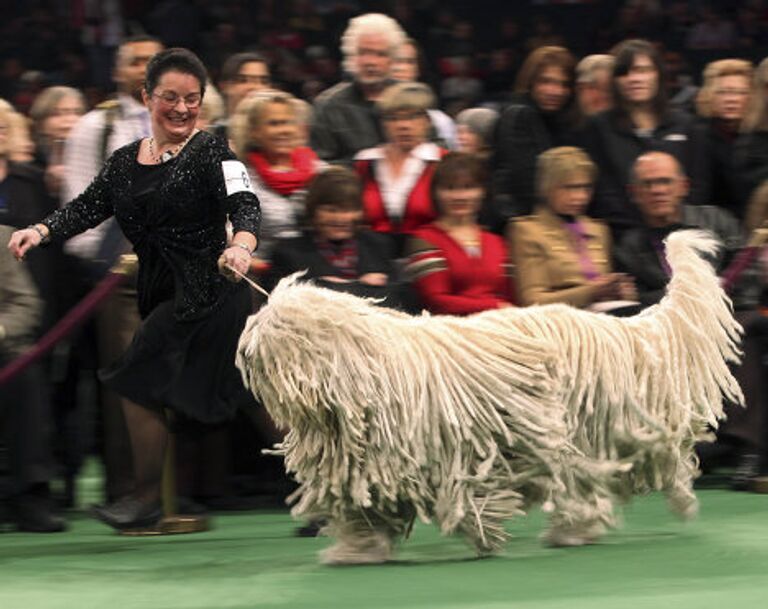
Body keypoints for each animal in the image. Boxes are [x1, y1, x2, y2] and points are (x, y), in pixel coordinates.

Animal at [237, 230, 740, 564]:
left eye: (277, 326)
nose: (243, 347)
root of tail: (615, 330)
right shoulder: (363, 466)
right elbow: (366, 509)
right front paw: (356, 549)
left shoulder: (458, 451)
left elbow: (469, 495)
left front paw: (483, 532)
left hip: (573, 432)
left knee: (584, 482)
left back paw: (573, 530)